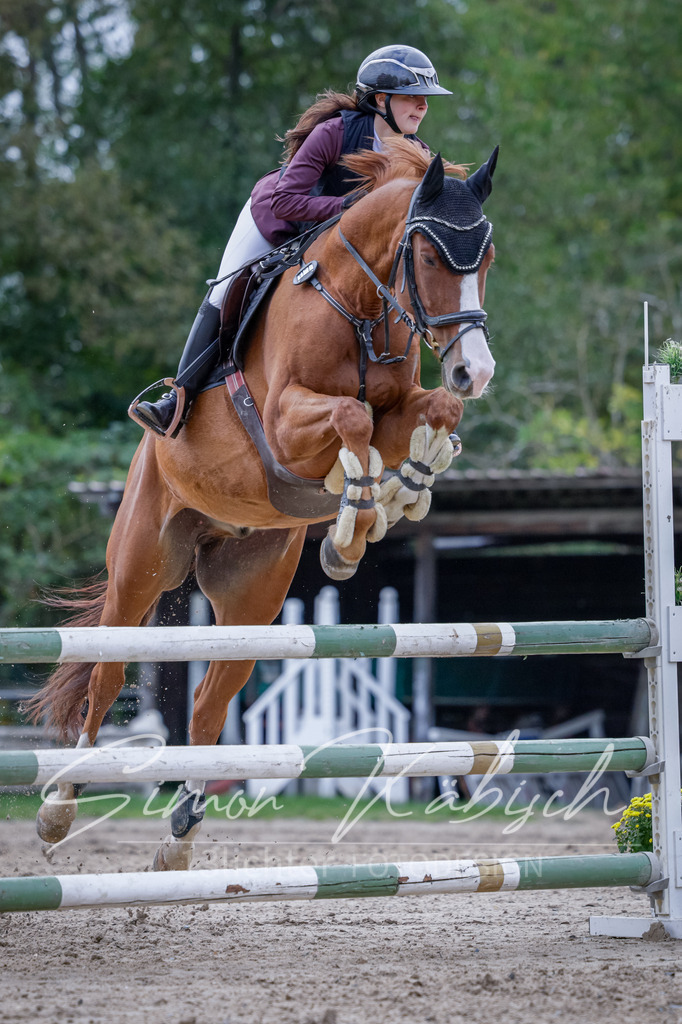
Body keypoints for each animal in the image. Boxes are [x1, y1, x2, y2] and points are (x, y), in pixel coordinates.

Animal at [27, 139, 498, 870]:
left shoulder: (398, 408)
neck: (359, 305)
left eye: (489, 257)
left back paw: (180, 836)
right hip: (140, 567)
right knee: (107, 680)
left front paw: (391, 498)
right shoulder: (282, 421)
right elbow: (352, 417)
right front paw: (356, 520)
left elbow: (423, 416)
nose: (474, 371)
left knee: (208, 704)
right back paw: (58, 810)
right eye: (426, 257)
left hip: (251, 595)